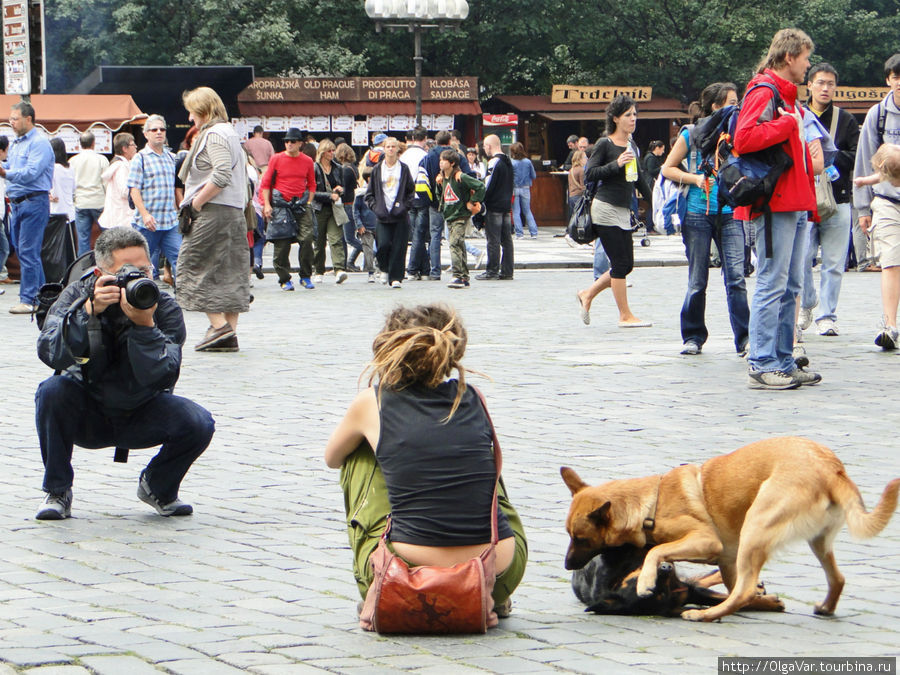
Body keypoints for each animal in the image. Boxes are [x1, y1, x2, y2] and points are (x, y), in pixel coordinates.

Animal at [560, 438, 896, 624]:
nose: (566, 566)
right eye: (569, 535)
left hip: (756, 527)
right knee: (835, 578)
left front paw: (645, 581)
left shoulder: (707, 542)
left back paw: (703, 615)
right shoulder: (726, 560)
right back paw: (824, 607)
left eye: (580, 538)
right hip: (817, 540)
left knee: (742, 591)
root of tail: (832, 469)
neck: (651, 504)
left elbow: (657, 550)